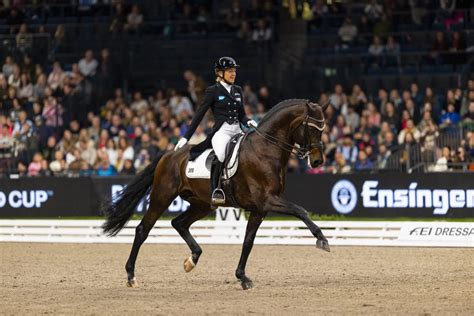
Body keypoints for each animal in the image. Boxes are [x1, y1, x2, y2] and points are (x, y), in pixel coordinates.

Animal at [101, 99, 330, 288]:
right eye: (312, 129)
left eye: (323, 129)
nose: (318, 161)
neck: (265, 149)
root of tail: (169, 154)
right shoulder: (267, 200)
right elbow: (300, 210)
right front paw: (322, 240)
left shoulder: (260, 209)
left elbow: (248, 241)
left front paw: (242, 277)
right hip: (162, 197)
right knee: (143, 230)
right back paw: (131, 276)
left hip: (202, 204)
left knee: (179, 223)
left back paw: (191, 260)